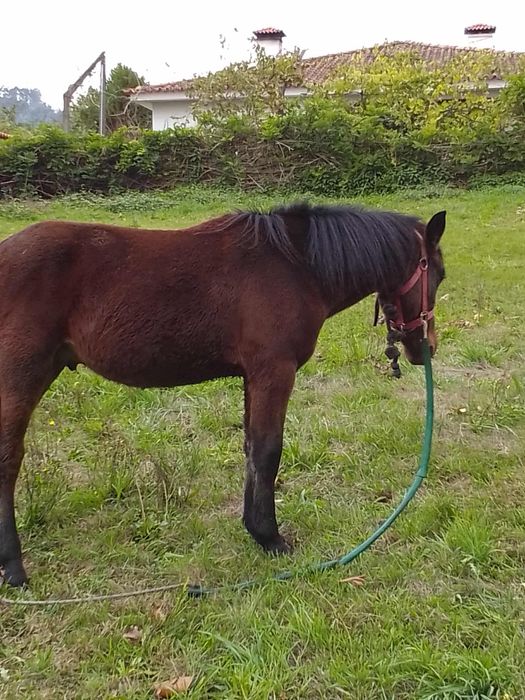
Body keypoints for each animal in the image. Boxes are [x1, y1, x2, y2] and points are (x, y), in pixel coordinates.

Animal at [0, 202, 446, 587]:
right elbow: (268, 450)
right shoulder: (273, 371)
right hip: (21, 374)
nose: (425, 348)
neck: (296, 267)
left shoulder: (252, 377)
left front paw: (254, 528)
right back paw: (14, 567)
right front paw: (271, 537)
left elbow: (251, 448)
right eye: (438, 274)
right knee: (8, 459)